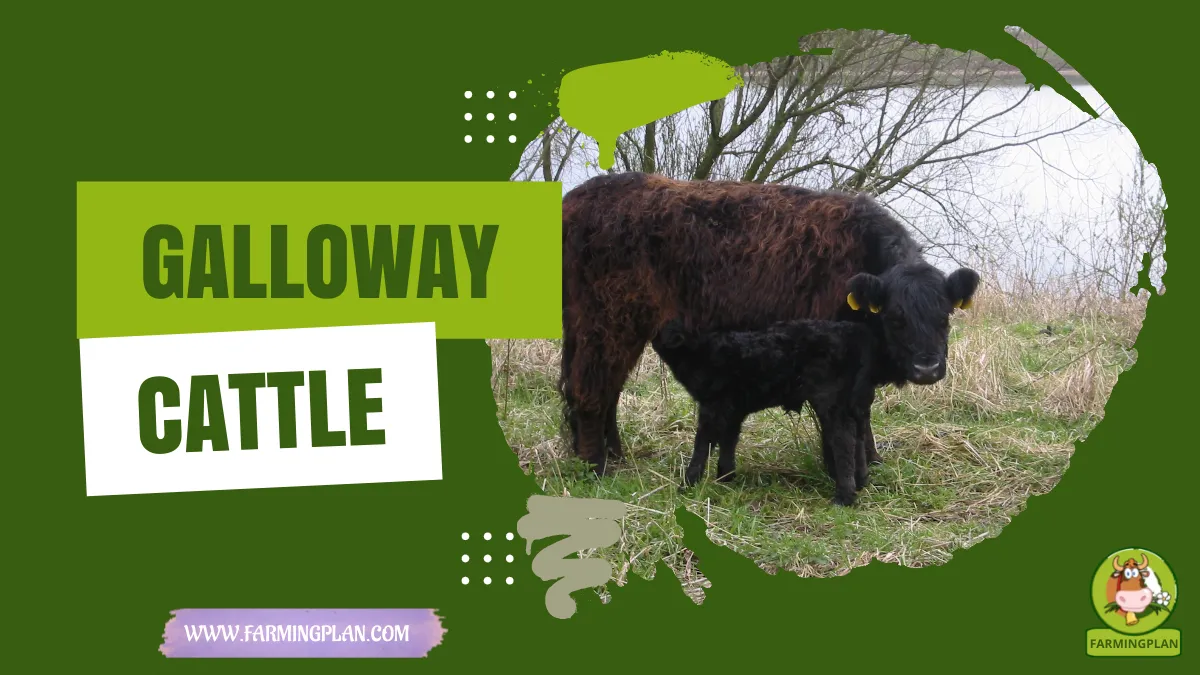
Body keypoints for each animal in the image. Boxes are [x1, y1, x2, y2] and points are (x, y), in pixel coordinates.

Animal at [559, 172, 981, 475]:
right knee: (591, 390)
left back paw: (614, 456)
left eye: (945, 316)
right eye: (895, 318)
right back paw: (596, 466)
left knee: (602, 390)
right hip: (609, 321)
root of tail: (579, 198)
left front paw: (872, 460)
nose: (927, 368)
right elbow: (854, 413)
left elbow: (863, 412)